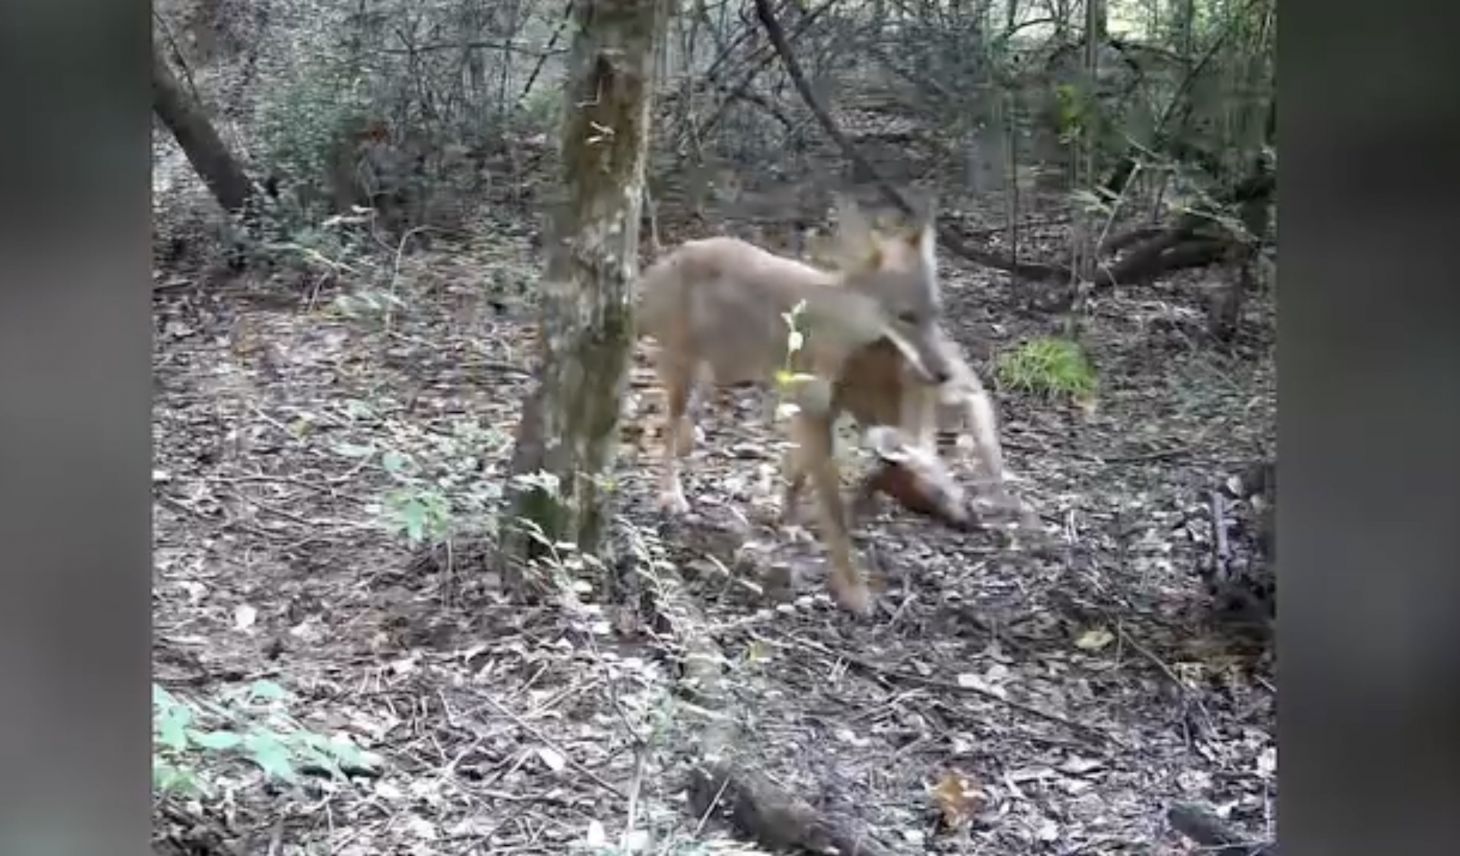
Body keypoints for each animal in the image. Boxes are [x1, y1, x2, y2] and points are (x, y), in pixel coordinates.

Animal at [634, 194, 951, 614]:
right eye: (906, 317)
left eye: (935, 314)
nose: (944, 373)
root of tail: (676, 253)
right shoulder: (815, 416)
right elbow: (835, 518)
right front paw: (853, 590)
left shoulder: (815, 414)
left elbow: (795, 478)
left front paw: (788, 522)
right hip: (687, 372)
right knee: (666, 430)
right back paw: (671, 493)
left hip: (722, 369)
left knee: (684, 418)